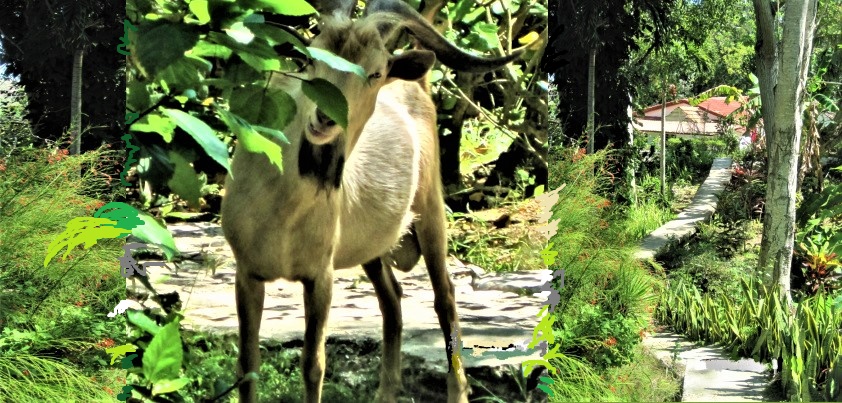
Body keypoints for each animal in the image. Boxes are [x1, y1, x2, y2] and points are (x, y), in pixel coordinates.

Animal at [218, 1, 520, 402]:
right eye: (311, 58)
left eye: (375, 72)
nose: (324, 119)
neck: (284, 209)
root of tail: (418, 83)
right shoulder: (247, 270)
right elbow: (247, 366)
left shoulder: (320, 275)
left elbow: (313, 365)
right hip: (373, 246)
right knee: (392, 298)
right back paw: (386, 391)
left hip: (430, 205)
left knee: (445, 297)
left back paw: (457, 391)